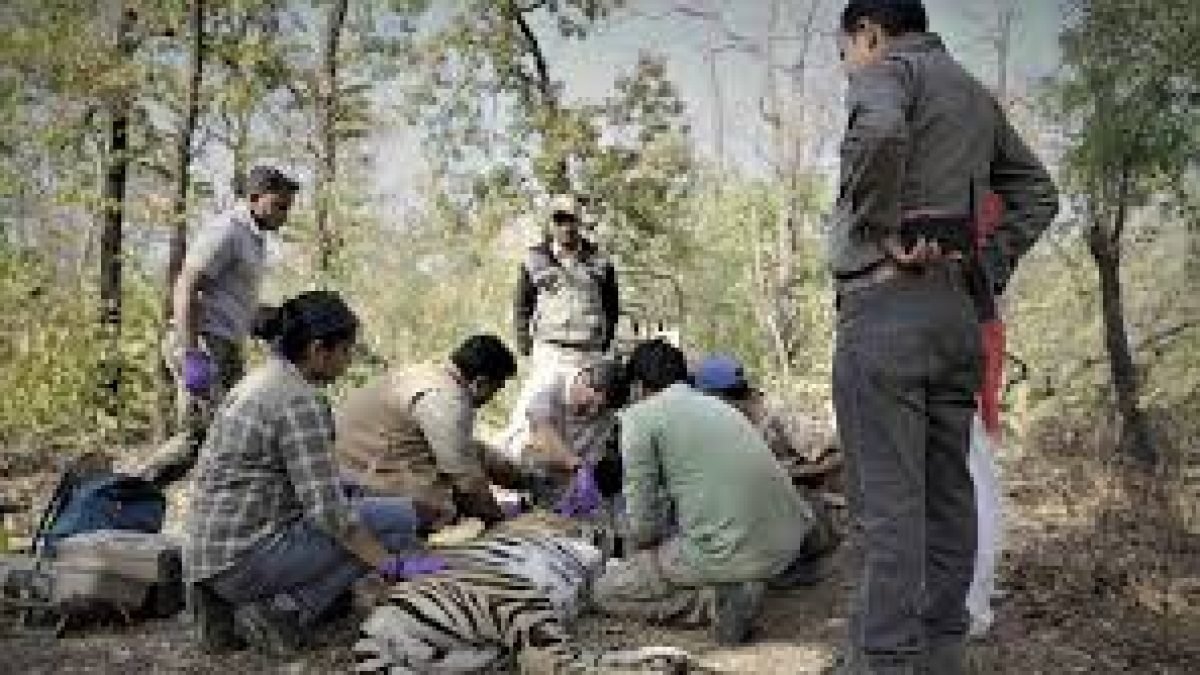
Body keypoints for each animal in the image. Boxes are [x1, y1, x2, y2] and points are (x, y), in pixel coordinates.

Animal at [353, 512, 701, 674]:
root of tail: (373, 621)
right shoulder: (592, 538)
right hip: (520, 598)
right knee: (553, 665)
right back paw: (665, 664)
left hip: (481, 648)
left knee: (583, 658)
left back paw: (670, 658)